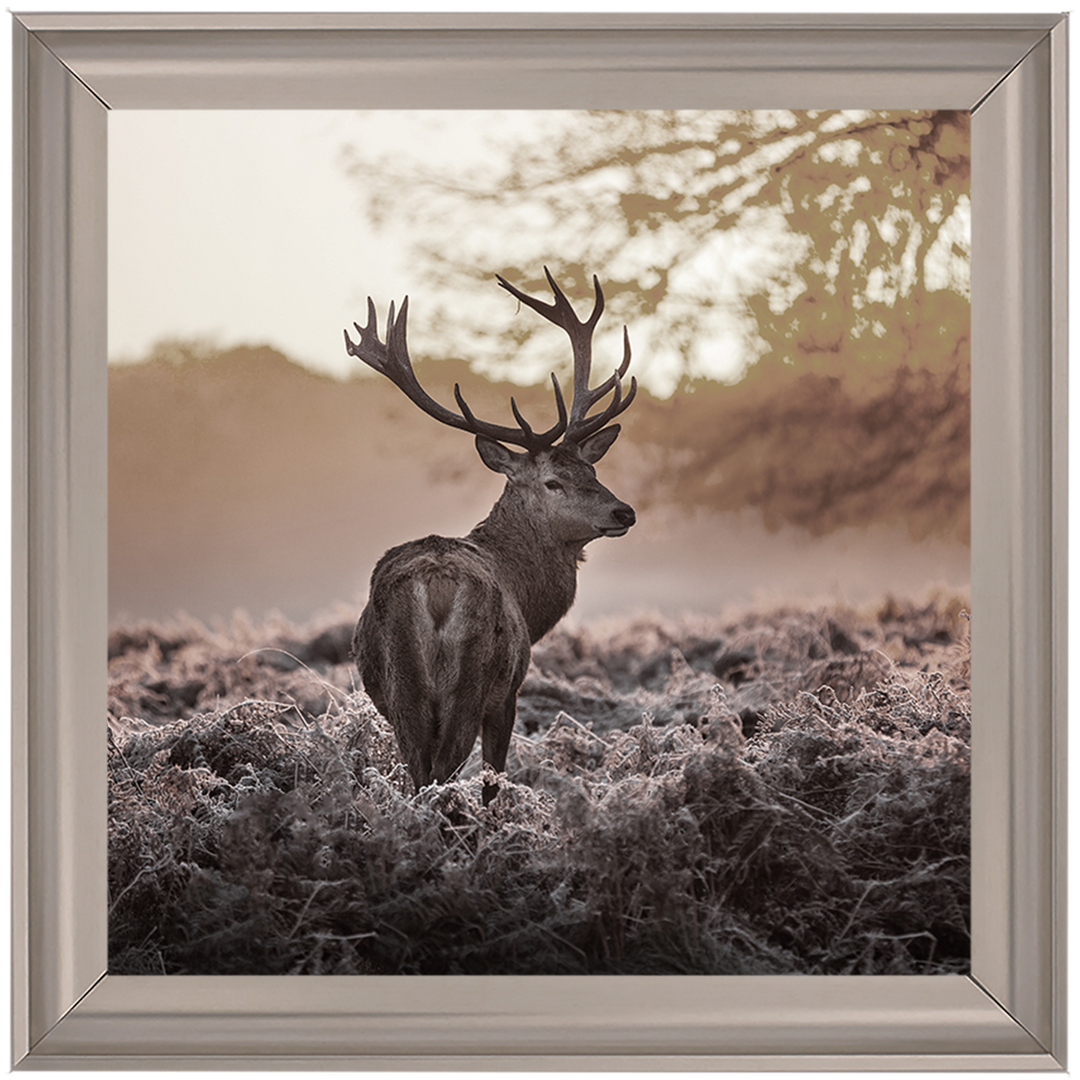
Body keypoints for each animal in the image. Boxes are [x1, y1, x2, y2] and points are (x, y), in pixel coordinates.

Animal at [346, 268, 637, 806]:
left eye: (591, 469)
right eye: (553, 481)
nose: (623, 511)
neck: (528, 597)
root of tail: (436, 586)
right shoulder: (509, 692)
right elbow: (493, 780)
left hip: (402, 689)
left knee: (419, 772)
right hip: (472, 680)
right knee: (443, 772)